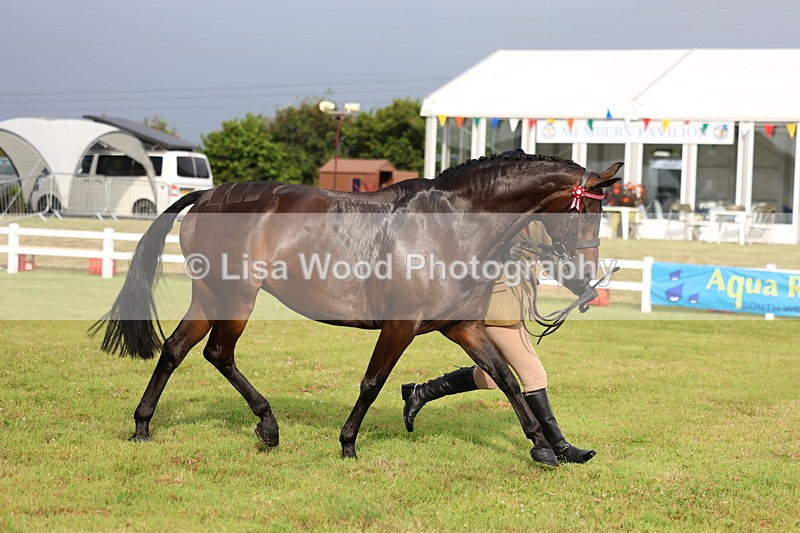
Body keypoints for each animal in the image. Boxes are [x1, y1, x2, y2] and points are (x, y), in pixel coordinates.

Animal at [92, 151, 622, 467]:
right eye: (583, 212)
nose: (585, 281)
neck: (452, 225)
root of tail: (208, 194)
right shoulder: (401, 326)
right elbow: (373, 381)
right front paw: (348, 442)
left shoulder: (463, 326)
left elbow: (507, 378)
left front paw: (546, 447)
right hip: (237, 297)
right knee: (218, 354)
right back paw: (268, 426)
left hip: (209, 296)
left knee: (174, 350)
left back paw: (143, 426)